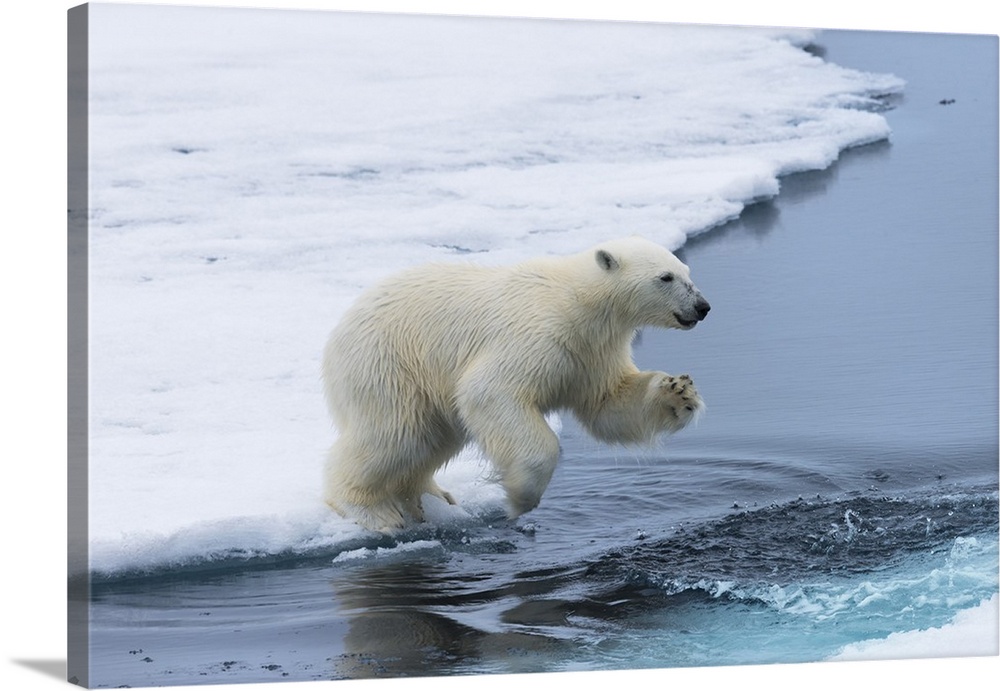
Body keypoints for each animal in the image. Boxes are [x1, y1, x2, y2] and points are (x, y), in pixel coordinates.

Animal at [322, 235, 712, 532]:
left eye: (687, 272)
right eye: (665, 277)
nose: (703, 306)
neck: (579, 301)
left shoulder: (593, 352)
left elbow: (609, 403)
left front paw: (680, 392)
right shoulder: (537, 334)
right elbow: (490, 392)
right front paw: (519, 498)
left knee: (432, 439)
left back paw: (432, 498)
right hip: (388, 364)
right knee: (394, 434)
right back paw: (373, 511)